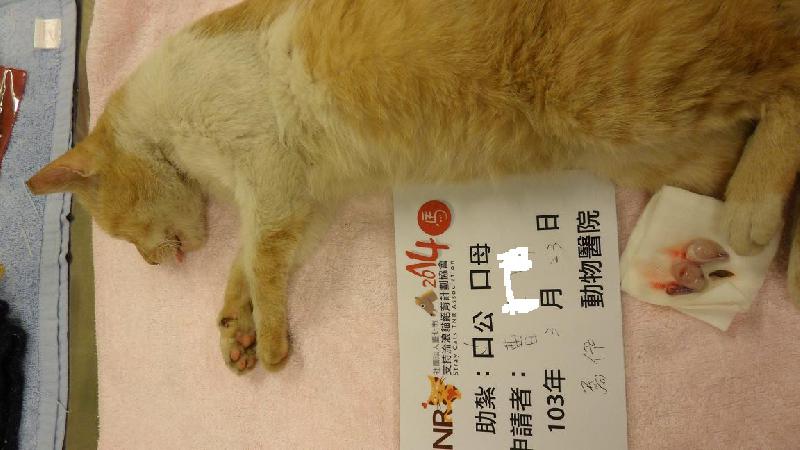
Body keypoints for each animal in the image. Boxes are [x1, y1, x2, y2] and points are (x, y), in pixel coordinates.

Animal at [25, 0, 800, 372]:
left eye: (120, 234)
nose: (158, 262)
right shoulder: (306, 202)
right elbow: (250, 261)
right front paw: (233, 326)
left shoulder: (273, 184)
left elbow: (263, 259)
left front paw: (268, 337)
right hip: (661, 149)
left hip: (617, 89)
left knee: (786, 73)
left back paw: (754, 211)